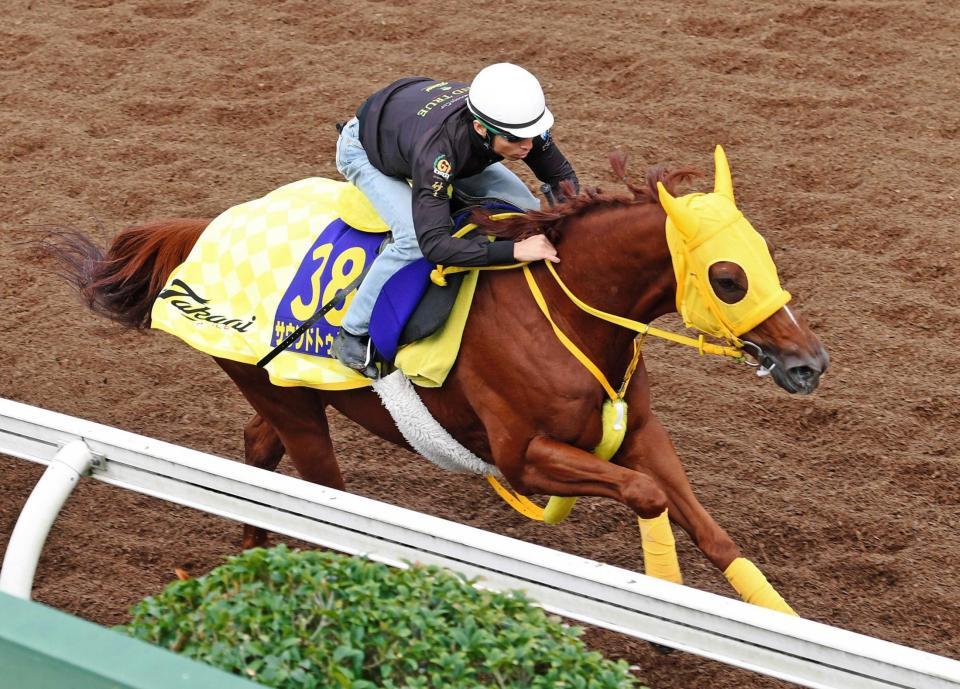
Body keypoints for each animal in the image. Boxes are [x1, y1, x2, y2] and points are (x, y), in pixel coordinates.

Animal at [45, 144, 824, 612]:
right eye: (727, 278)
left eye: (765, 255)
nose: (808, 362)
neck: (566, 313)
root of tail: (204, 230)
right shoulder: (522, 456)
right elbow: (647, 494)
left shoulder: (639, 430)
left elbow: (708, 529)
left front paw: (780, 623)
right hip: (296, 408)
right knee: (322, 497)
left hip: (287, 393)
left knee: (259, 450)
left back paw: (251, 564)